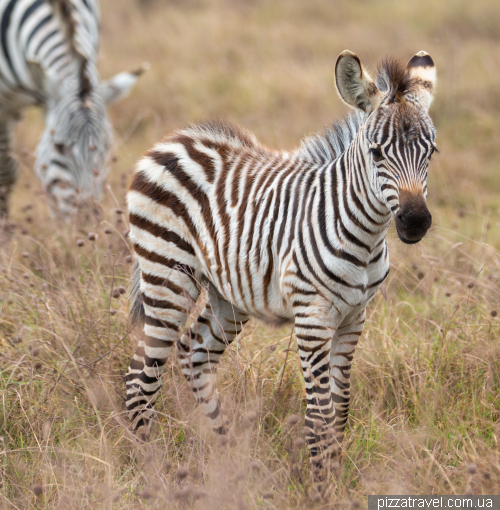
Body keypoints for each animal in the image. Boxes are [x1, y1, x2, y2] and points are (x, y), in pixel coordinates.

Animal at [124, 49, 438, 472]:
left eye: (431, 152)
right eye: (376, 153)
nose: (415, 221)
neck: (365, 236)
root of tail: (174, 140)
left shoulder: (355, 316)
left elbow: (341, 407)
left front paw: (339, 474)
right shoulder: (312, 317)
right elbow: (319, 413)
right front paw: (323, 481)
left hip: (228, 295)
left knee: (195, 354)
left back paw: (229, 456)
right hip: (167, 277)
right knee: (141, 378)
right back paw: (148, 468)